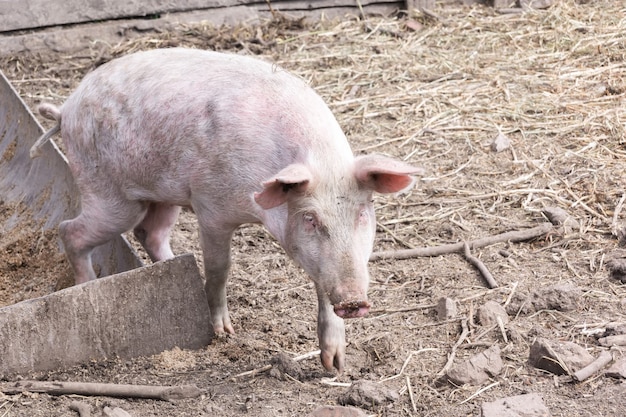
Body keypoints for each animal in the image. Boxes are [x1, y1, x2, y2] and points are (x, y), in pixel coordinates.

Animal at [30, 48, 420, 370]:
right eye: (310, 219)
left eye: (362, 214)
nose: (355, 300)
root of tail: (66, 108)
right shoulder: (211, 208)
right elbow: (220, 269)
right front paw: (223, 333)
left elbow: (322, 285)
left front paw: (336, 365)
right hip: (110, 196)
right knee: (71, 230)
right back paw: (86, 285)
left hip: (162, 195)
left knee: (149, 233)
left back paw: (173, 268)